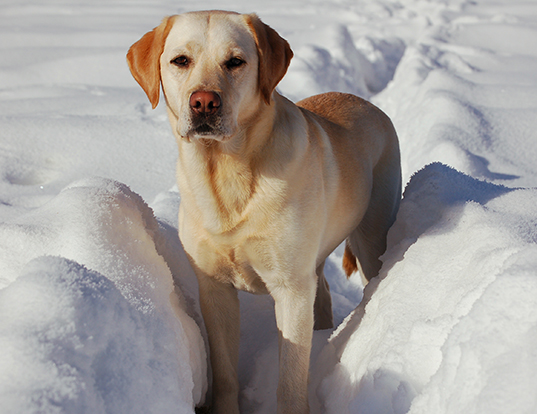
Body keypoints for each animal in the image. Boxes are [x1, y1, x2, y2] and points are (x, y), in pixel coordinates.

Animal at [127, 10, 400, 414]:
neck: (227, 172)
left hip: (371, 238)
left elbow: (290, 381)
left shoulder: (290, 288)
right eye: (180, 61)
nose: (204, 102)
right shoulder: (215, 287)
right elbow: (225, 372)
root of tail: (368, 103)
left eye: (235, 62)